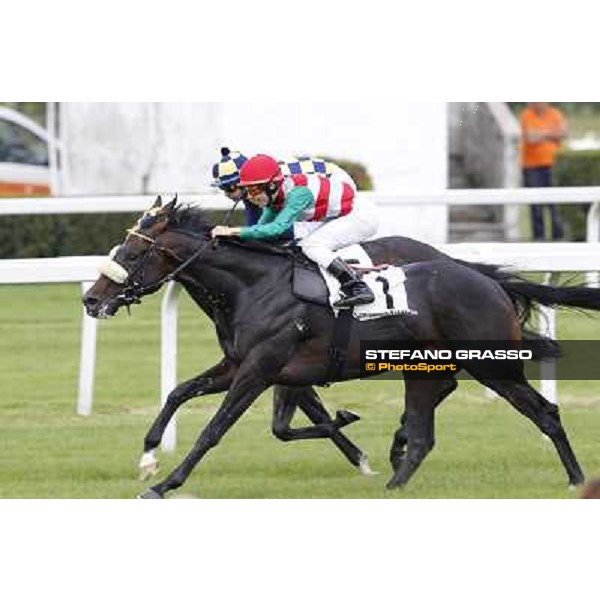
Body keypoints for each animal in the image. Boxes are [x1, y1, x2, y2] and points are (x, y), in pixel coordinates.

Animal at [82, 197, 596, 496]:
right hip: (432, 366)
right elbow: (178, 393)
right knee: (429, 423)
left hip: (493, 366)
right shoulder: (241, 365)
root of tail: (485, 279)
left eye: (133, 253)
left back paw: (575, 479)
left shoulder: (259, 369)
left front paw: (167, 482)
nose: (91, 299)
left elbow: (216, 428)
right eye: (120, 247)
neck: (254, 286)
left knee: (544, 412)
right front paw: (149, 457)